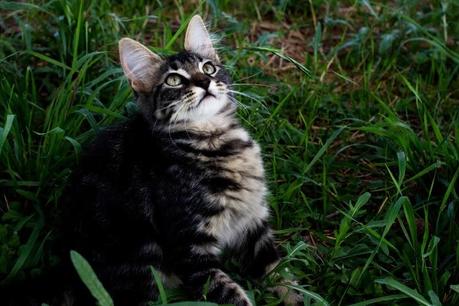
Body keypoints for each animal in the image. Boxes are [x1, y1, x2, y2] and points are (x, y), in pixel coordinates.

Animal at [24, 14, 298, 306]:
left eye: (209, 68)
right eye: (174, 80)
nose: (204, 82)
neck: (215, 141)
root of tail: (64, 268)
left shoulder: (253, 222)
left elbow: (280, 273)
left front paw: (298, 297)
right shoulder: (189, 247)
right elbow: (231, 294)